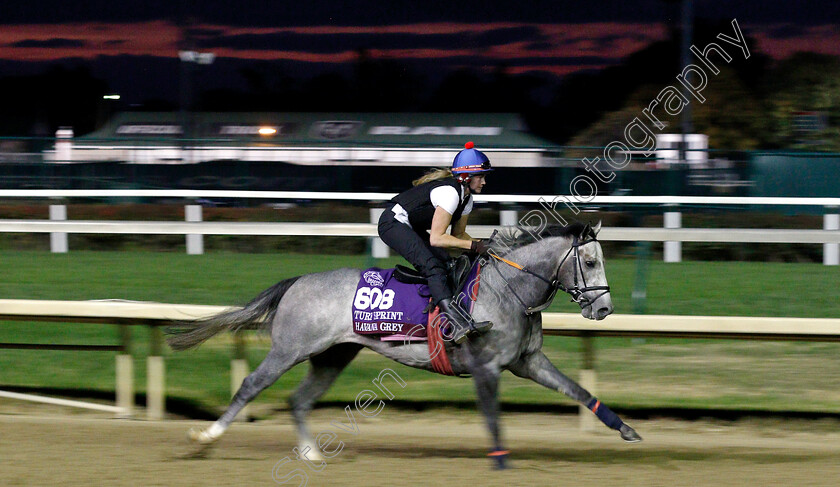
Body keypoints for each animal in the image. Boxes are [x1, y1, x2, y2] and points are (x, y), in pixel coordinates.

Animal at [169, 223, 644, 470]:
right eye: (589, 261)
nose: (605, 309)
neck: (509, 289)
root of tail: (298, 281)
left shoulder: (529, 361)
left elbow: (578, 390)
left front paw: (626, 429)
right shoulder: (486, 367)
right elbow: (492, 415)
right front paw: (500, 460)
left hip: (333, 355)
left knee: (299, 399)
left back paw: (311, 453)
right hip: (290, 348)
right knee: (252, 384)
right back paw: (204, 438)